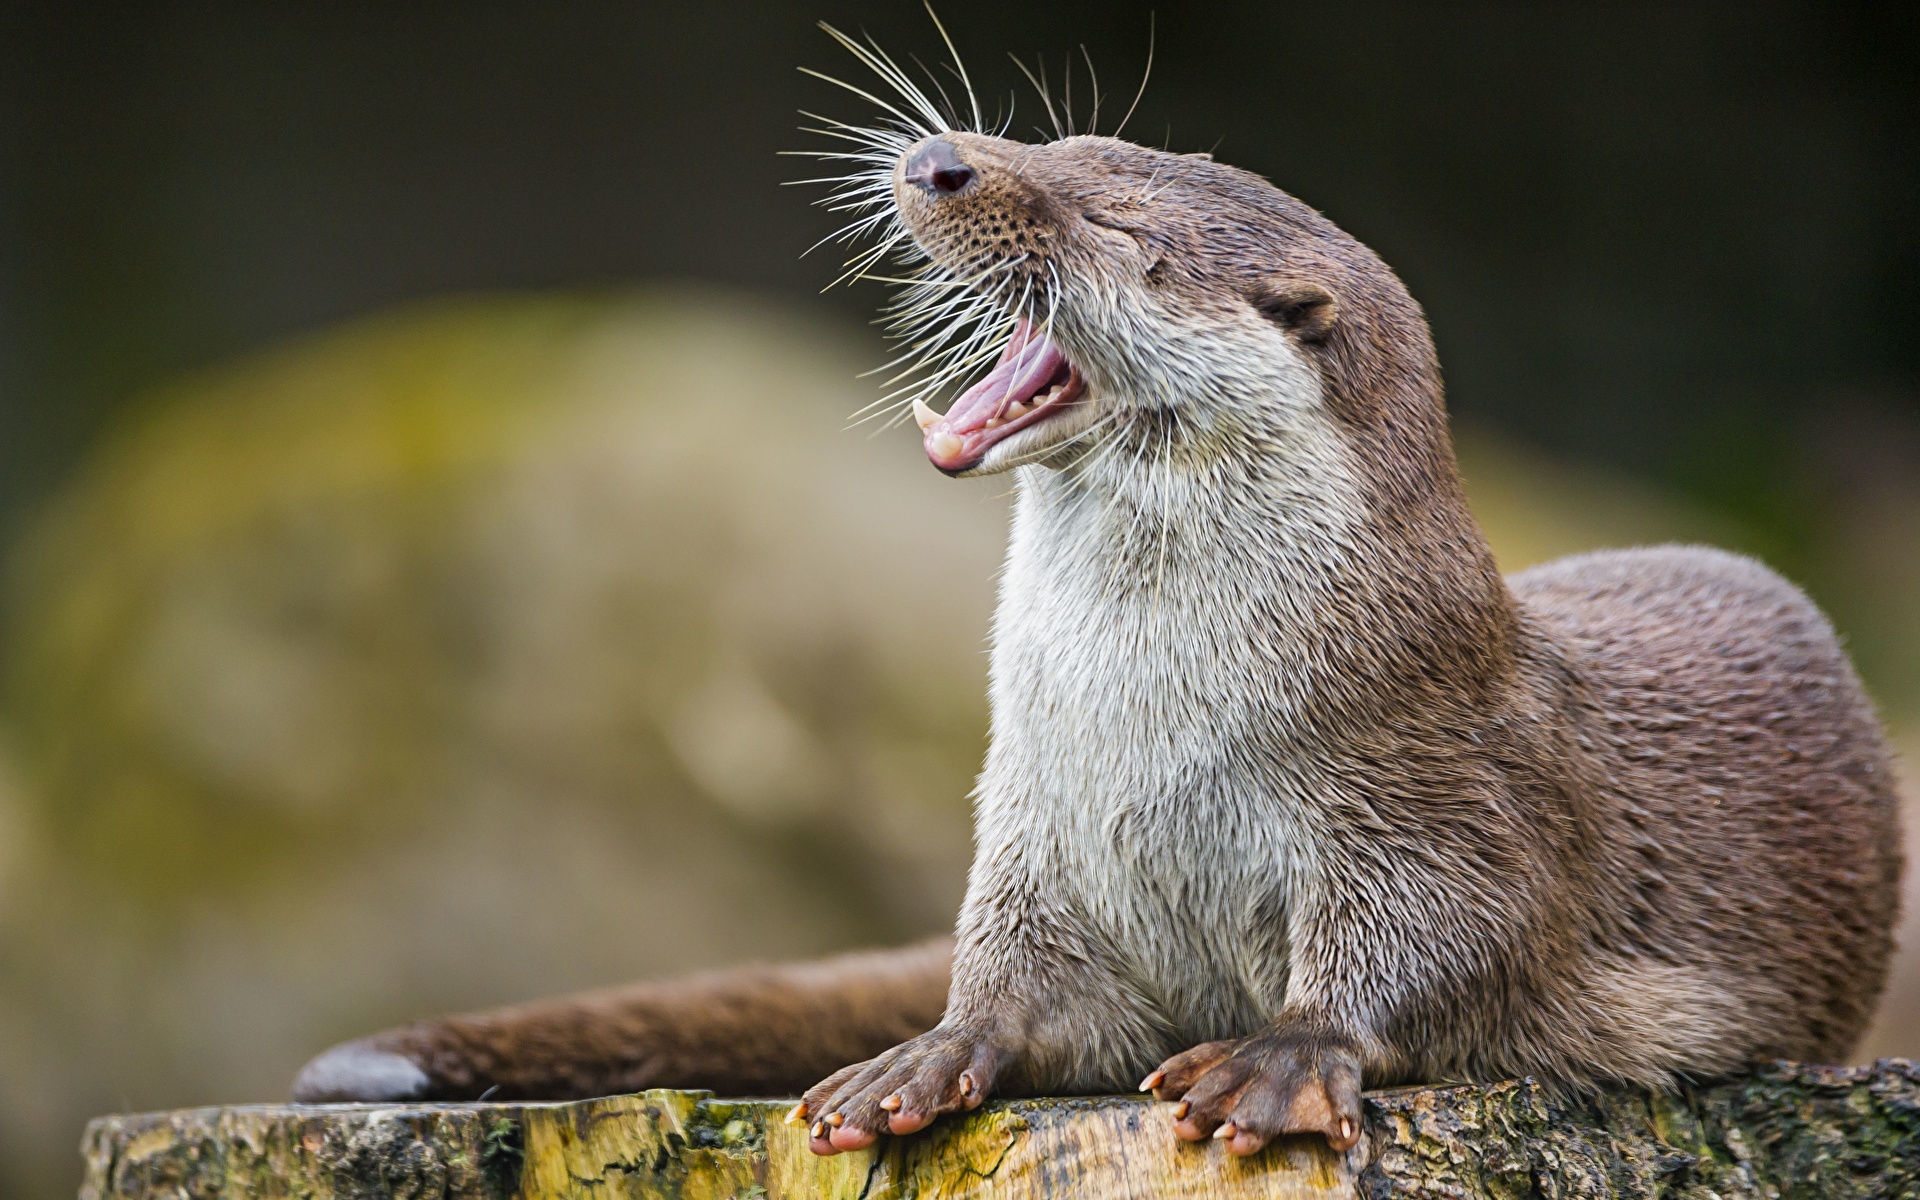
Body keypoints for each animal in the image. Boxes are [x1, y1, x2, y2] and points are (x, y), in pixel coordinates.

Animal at [291, 42, 1896, 1159]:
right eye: (1063, 141)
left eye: (1119, 228)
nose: (943, 159)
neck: (1151, 728)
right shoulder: (1035, 822)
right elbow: (1020, 983)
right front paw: (931, 1053)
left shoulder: (1437, 782)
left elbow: (1449, 942)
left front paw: (1279, 1054)